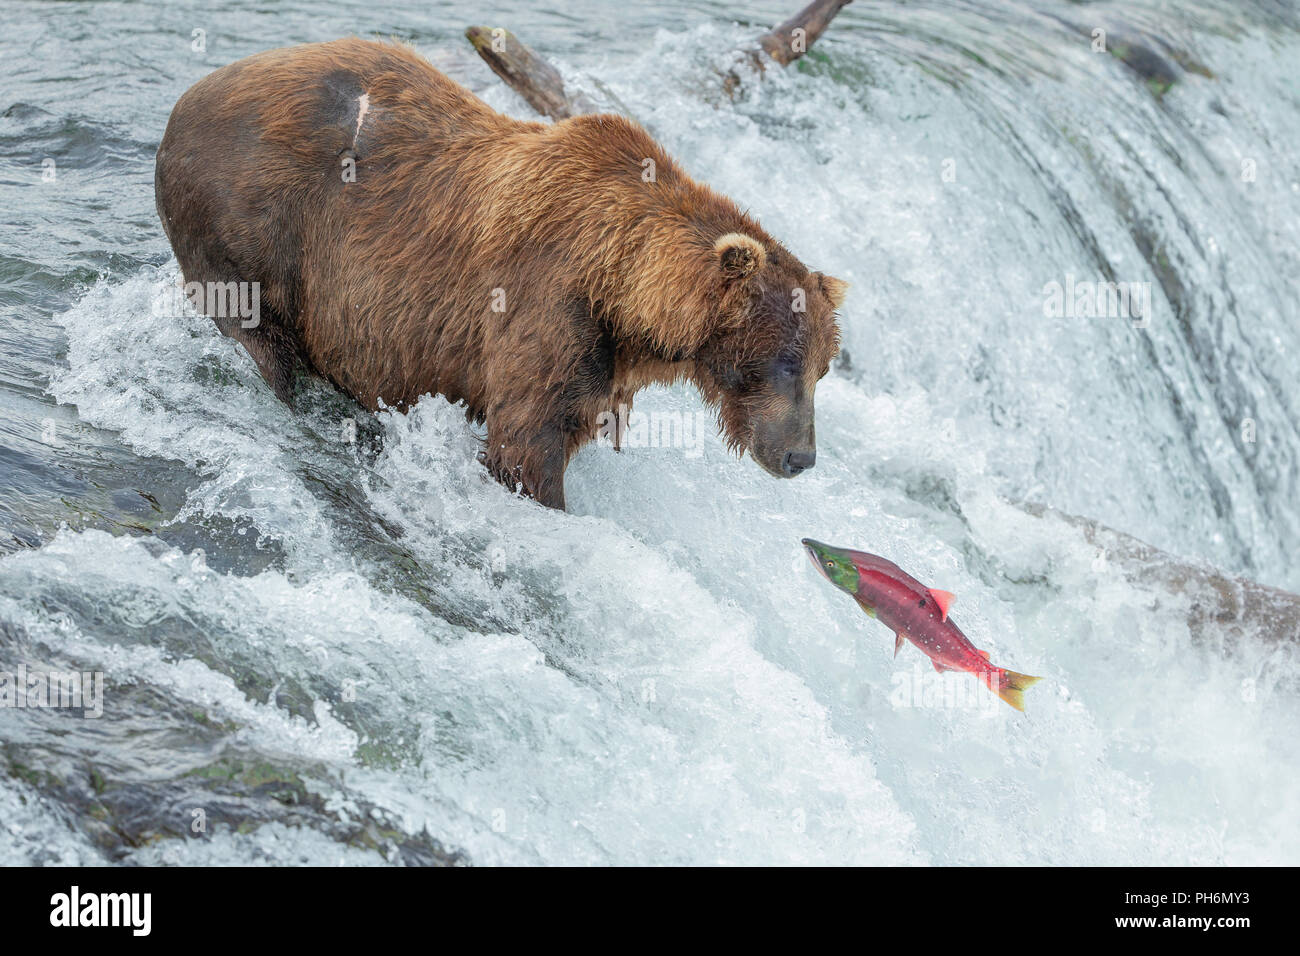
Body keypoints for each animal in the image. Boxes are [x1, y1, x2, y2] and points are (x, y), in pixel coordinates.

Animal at [154, 39, 842, 509]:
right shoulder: (547, 304)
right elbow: (525, 444)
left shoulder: (603, 362)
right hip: (252, 224)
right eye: (785, 362)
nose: (800, 456)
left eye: (821, 368)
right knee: (260, 335)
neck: (624, 292)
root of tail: (187, 97)